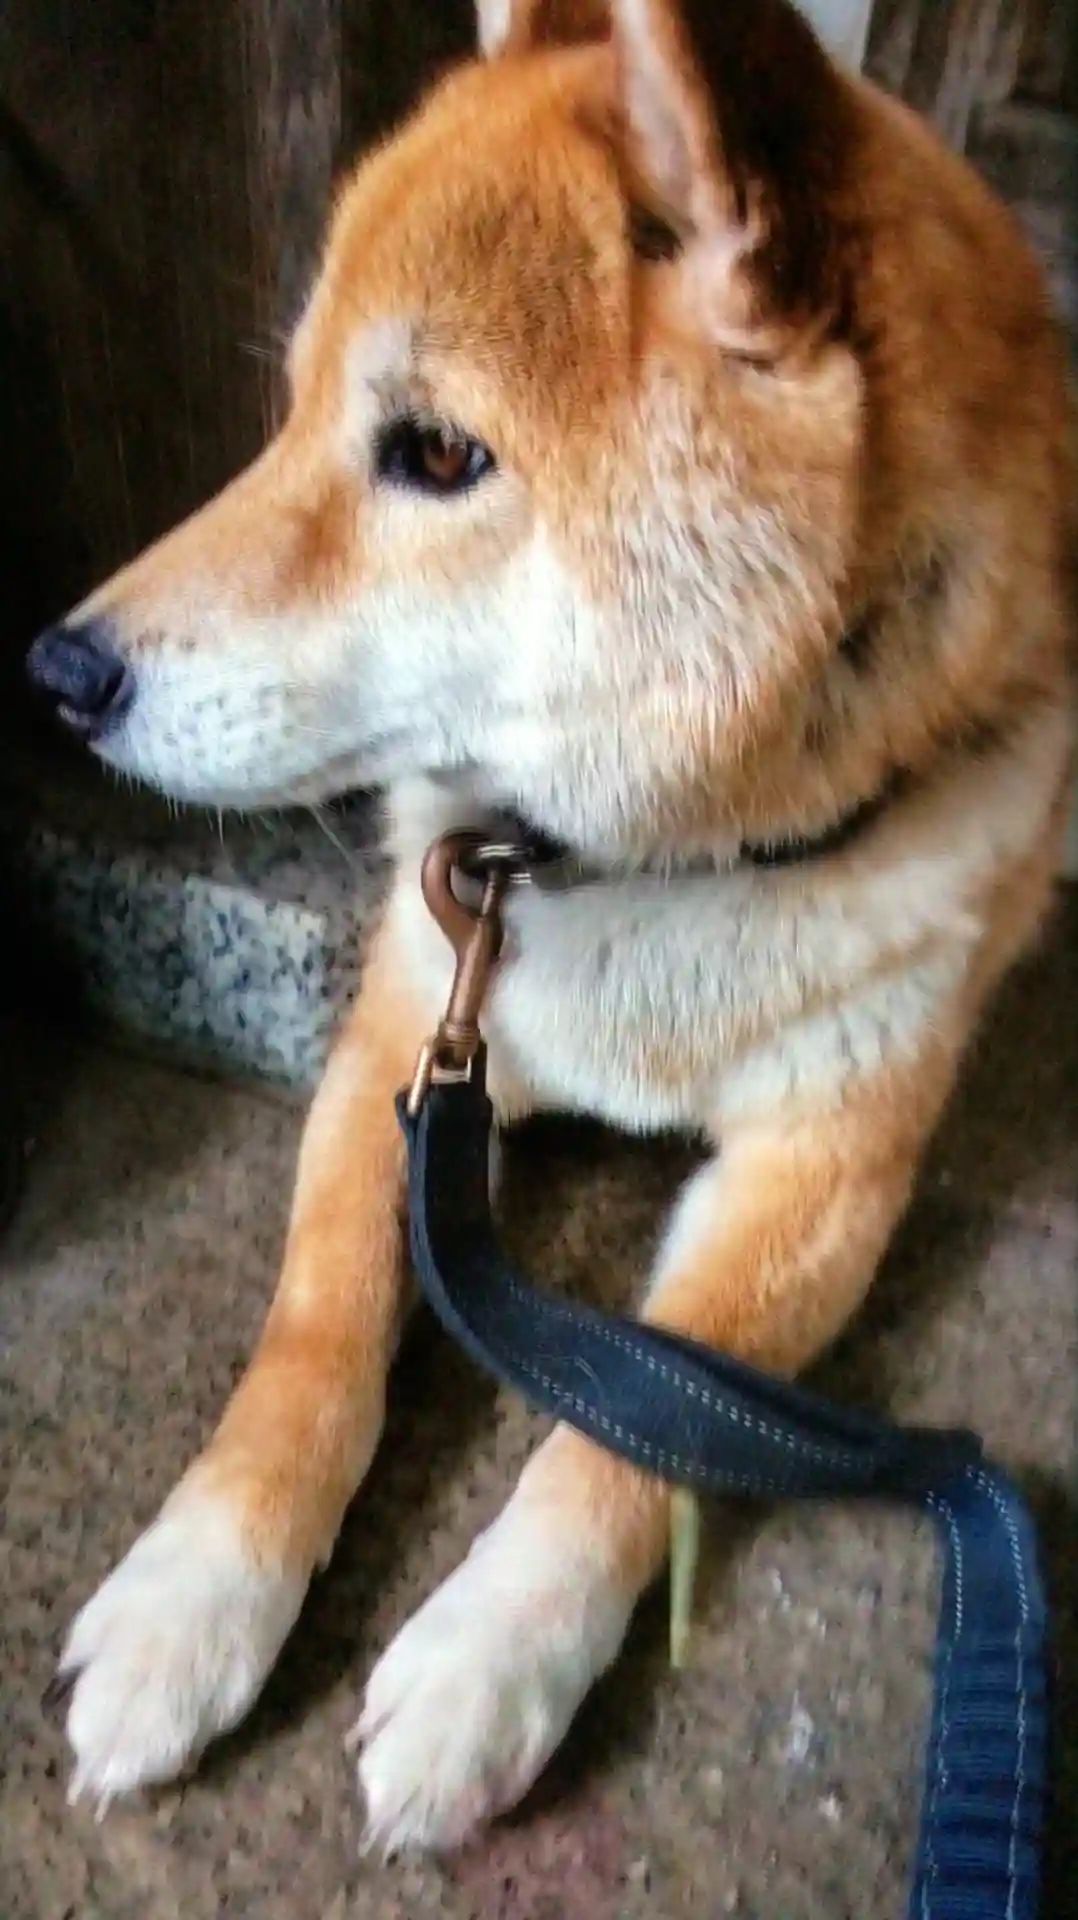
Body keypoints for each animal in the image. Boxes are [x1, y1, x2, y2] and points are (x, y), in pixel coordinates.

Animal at [27, 0, 1074, 1856]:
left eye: (436, 453)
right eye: (288, 408)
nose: (60, 672)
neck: (640, 867)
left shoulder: (822, 1168)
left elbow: (642, 1429)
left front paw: (481, 1664)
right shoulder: (412, 1021)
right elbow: (313, 1339)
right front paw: (190, 1600)